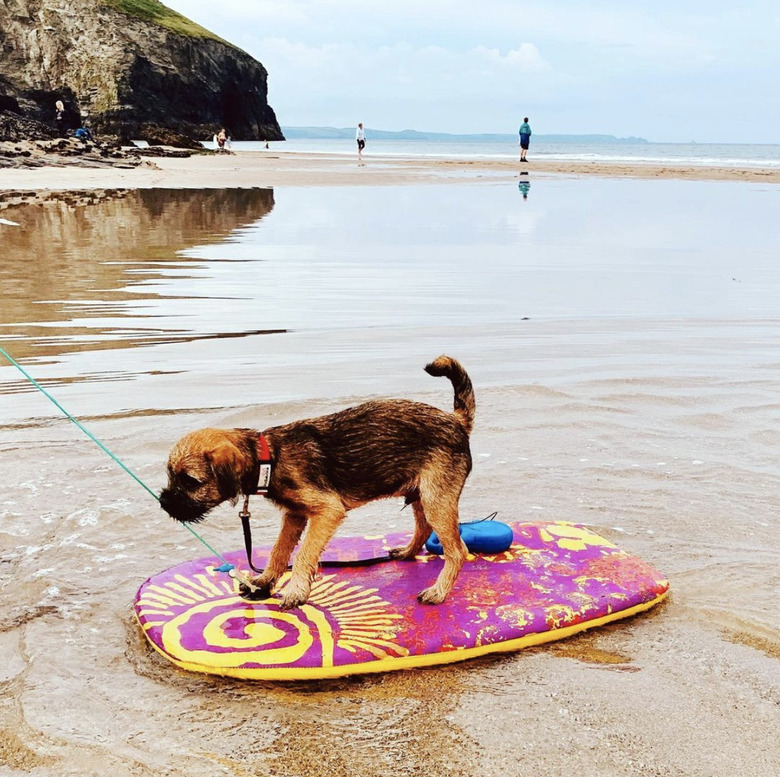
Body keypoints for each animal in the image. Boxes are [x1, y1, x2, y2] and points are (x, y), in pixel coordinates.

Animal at [160, 354, 476, 608]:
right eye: (171, 476)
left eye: (190, 481)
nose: (164, 502)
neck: (270, 458)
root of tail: (456, 420)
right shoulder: (294, 516)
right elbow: (278, 551)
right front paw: (264, 581)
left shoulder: (326, 512)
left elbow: (302, 555)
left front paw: (296, 592)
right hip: (422, 494)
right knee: (423, 528)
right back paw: (409, 552)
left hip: (436, 499)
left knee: (457, 551)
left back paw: (438, 591)